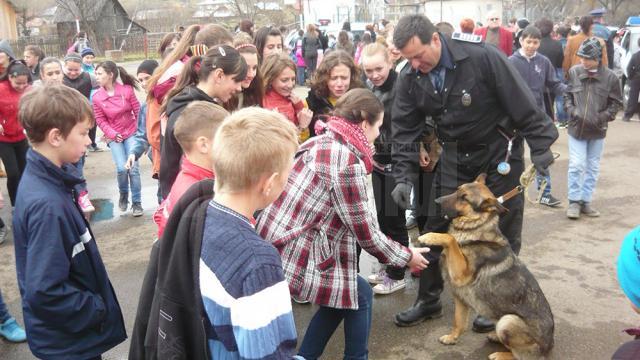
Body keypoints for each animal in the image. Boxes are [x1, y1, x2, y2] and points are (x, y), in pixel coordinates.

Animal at [418, 174, 552, 358]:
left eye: (464, 198)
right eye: (457, 190)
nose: (436, 201)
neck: (475, 227)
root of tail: (549, 346)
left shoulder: (461, 274)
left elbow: (450, 239)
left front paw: (430, 236)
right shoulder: (460, 297)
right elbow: (458, 322)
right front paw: (452, 338)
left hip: (507, 321)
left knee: (520, 355)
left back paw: (500, 354)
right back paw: (495, 337)